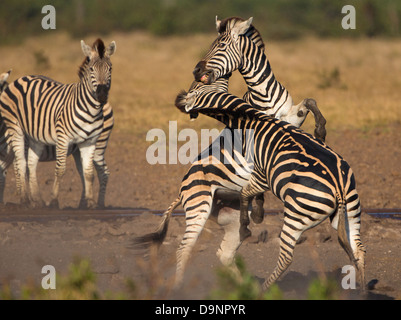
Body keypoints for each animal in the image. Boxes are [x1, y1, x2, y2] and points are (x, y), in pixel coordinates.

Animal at [0, 38, 115, 209]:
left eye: (110, 69)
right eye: (91, 69)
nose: (101, 95)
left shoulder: (88, 141)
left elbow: (81, 172)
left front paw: (55, 201)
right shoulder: (63, 138)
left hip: (98, 144)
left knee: (102, 172)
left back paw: (98, 204)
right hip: (29, 133)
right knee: (29, 164)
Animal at [176, 77, 366, 290]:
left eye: (195, 86)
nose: (179, 100)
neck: (254, 120)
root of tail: (339, 189)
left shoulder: (261, 175)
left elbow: (245, 194)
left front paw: (248, 223)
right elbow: (246, 194)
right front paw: (252, 219)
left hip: (296, 216)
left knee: (286, 258)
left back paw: (263, 289)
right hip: (350, 212)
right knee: (358, 251)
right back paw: (363, 291)